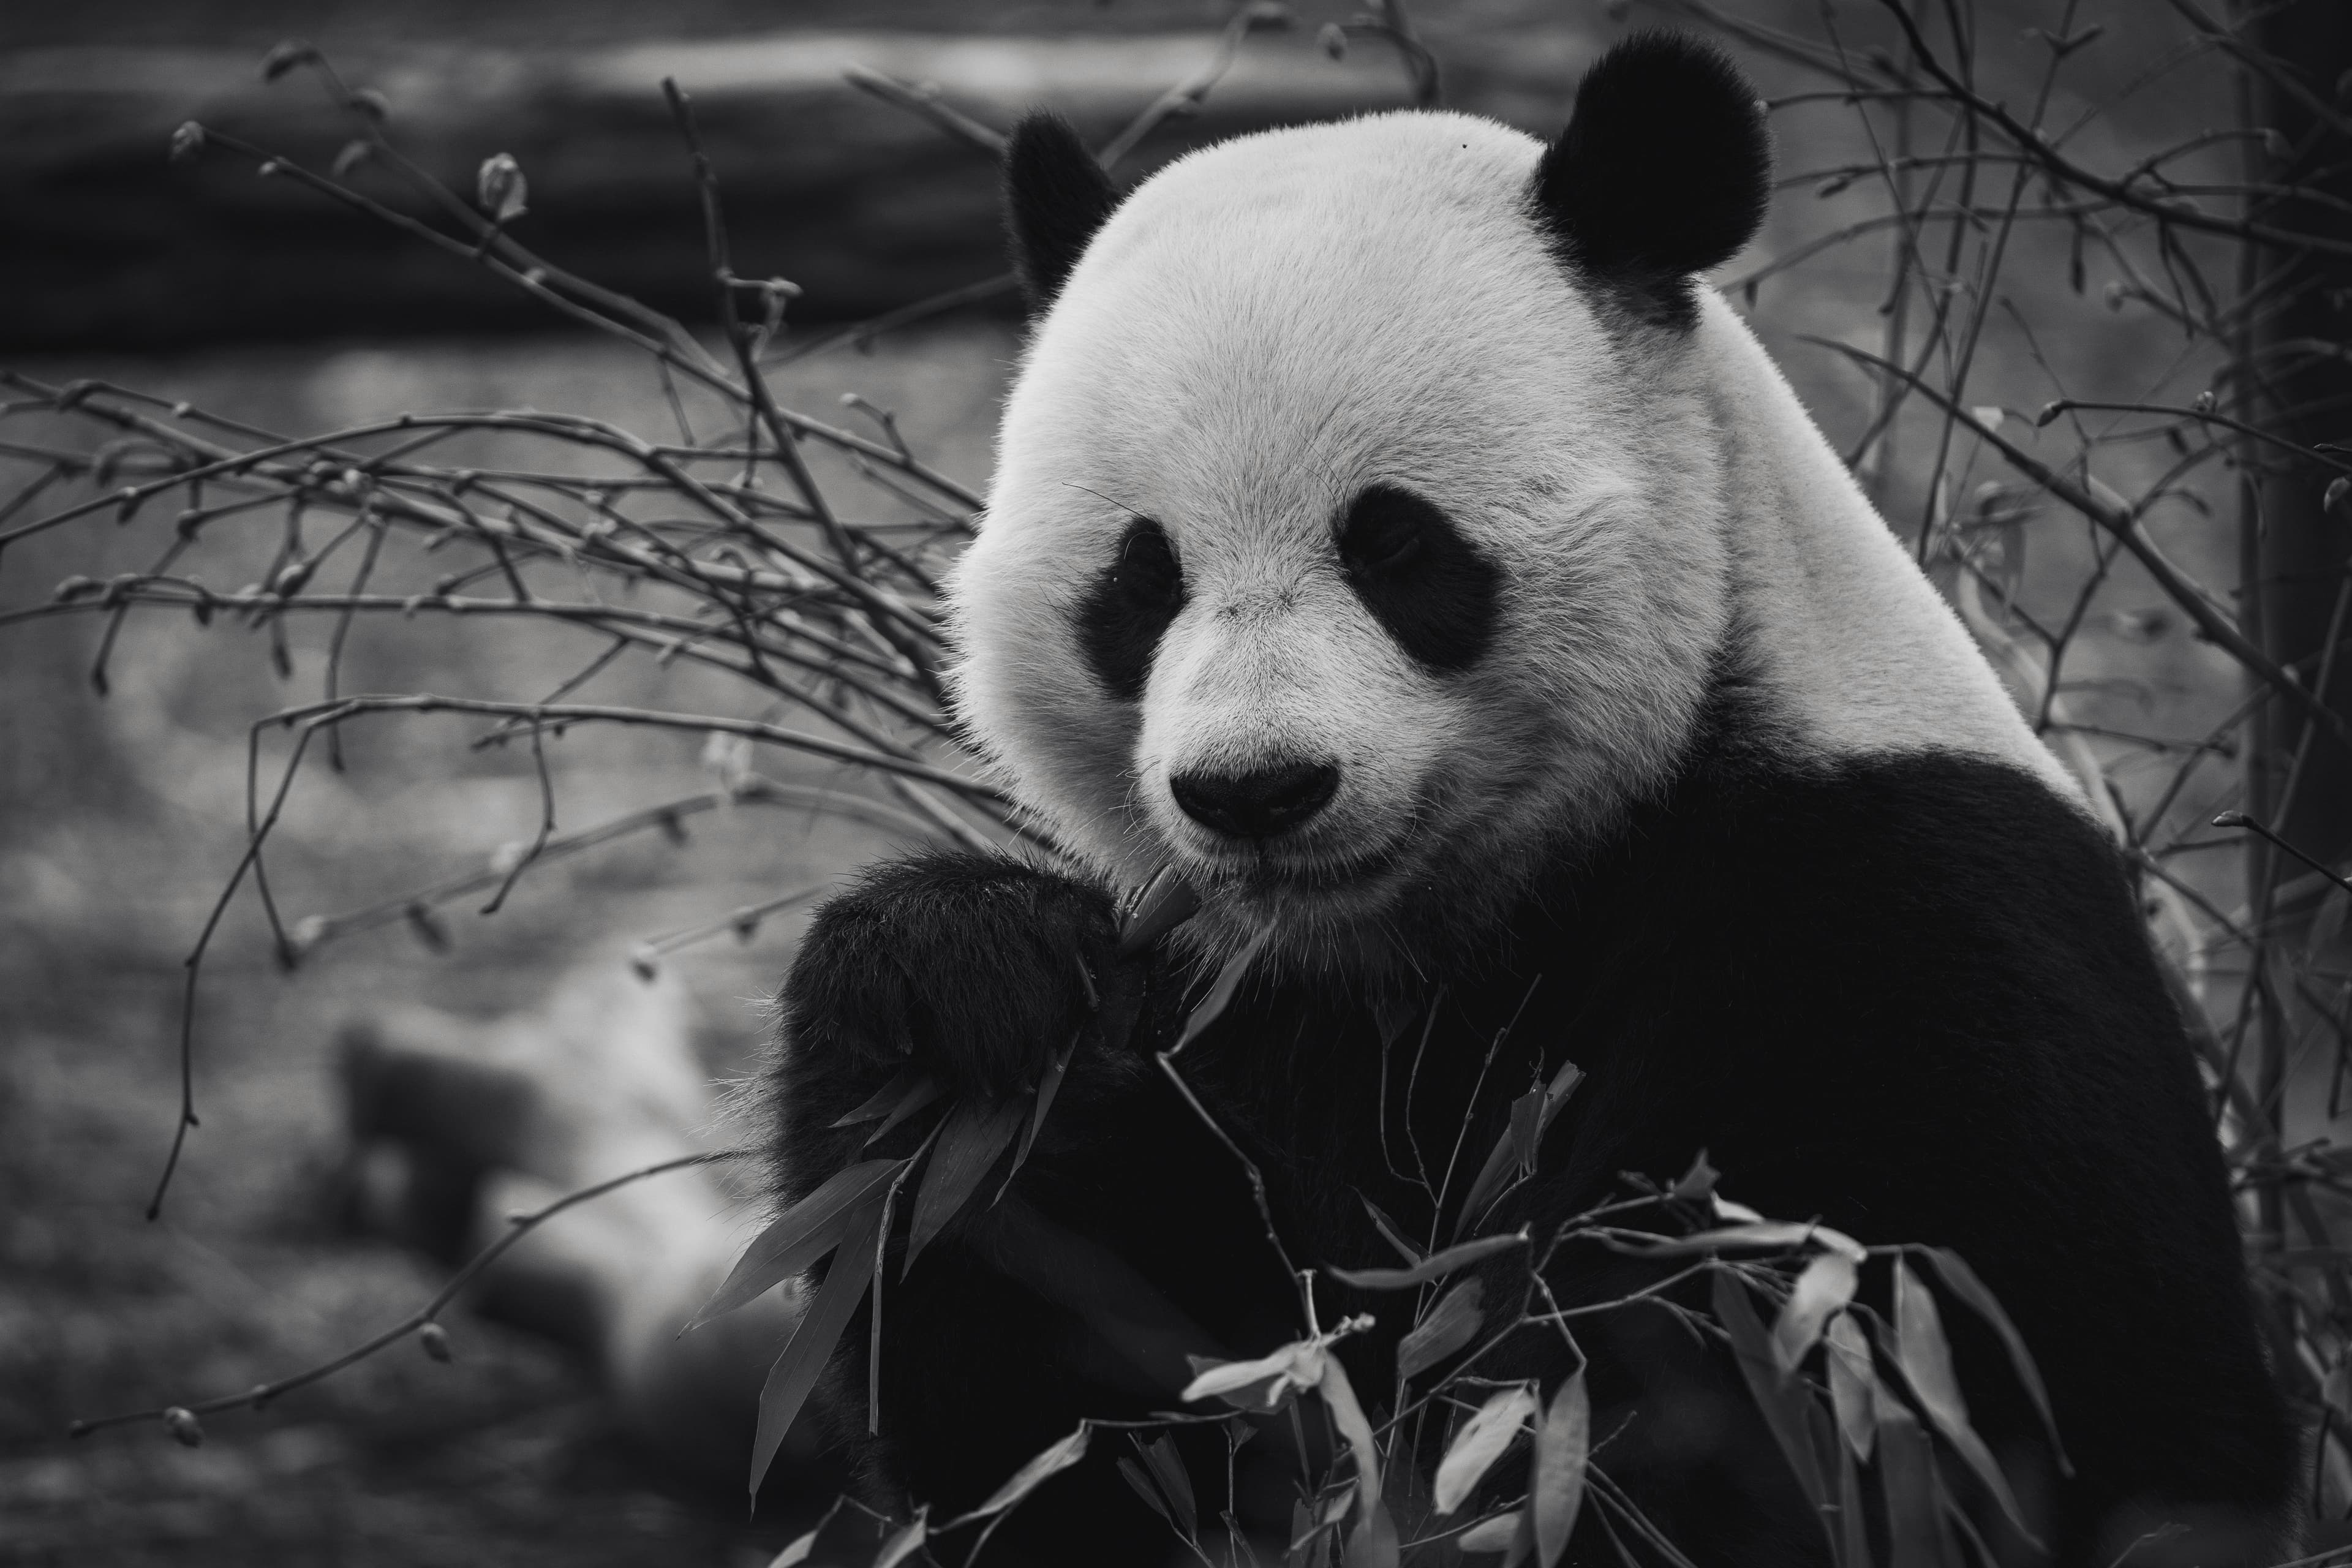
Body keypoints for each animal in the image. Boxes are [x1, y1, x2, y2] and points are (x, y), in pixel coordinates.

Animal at [770, 31, 2292, 1567]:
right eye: (1141, 578)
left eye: (1395, 545)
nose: (1256, 790)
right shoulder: (1256, 1011)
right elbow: (1095, 1422)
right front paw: (967, 983)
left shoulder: (1903, 923)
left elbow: (1839, 1403)